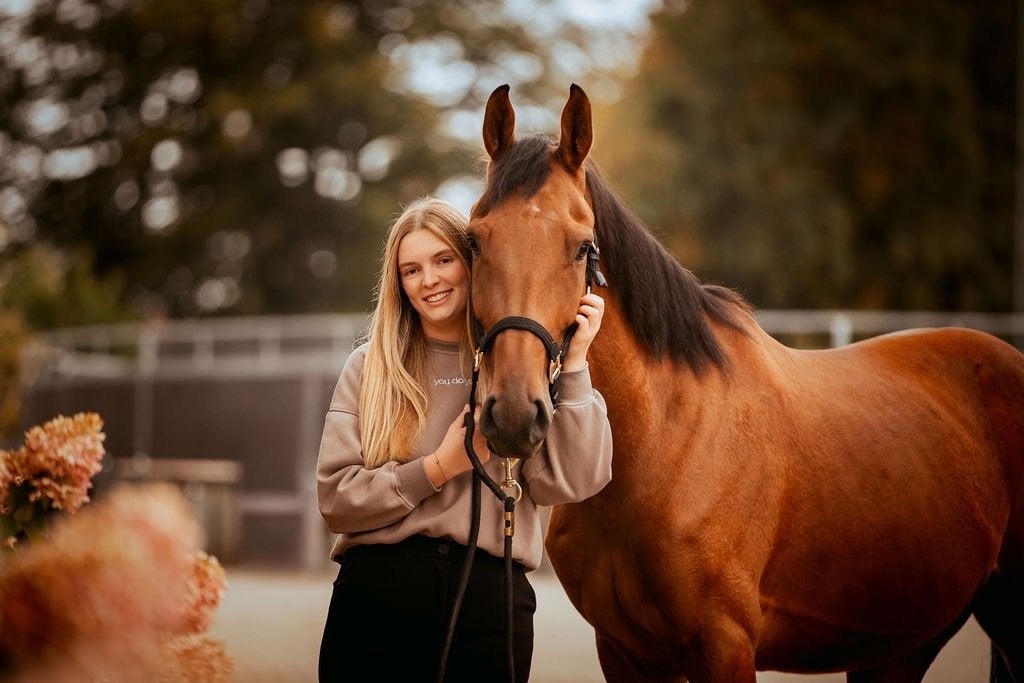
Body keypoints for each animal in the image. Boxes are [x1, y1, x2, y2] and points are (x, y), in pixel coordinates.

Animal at [466, 83, 1024, 683]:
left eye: (582, 247)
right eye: (474, 241)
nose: (514, 415)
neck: (654, 447)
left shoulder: (724, 644)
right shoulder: (624, 652)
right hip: (899, 645)